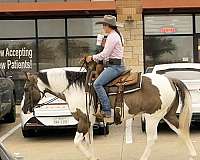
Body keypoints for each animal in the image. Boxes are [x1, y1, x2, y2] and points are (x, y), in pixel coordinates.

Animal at [21, 63, 196, 160]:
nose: (23, 109)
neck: (75, 89)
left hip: (152, 117)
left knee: (152, 139)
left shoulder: (84, 120)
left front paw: (92, 157)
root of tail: (171, 79)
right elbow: (89, 141)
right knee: (182, 130)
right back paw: (192, 155)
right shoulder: (89, 122)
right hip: (168, 115)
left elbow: (77, 142)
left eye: (26, 89)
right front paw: (93, 156)